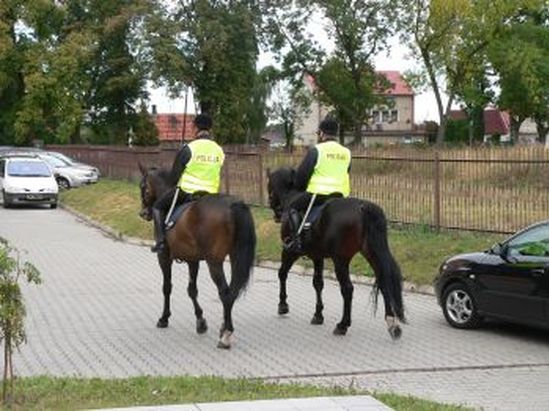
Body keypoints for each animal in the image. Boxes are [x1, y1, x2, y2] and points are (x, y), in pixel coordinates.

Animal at [138, 166, 256, 350]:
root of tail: (233, 205)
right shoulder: (192, 260)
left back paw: (226, 334)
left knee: (225, 293)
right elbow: (192, 290)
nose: (143, 213)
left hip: (214, 262)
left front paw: (164, 318)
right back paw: (224, 328)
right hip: (235, 257)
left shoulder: (163, 257)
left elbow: (167, 287)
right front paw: (201, 322)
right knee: (232, 291)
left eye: (143, 186)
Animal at [268, 167, 404, 342]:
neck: (290, 198)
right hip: (371, 254)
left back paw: (342, 325)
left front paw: (283, 305)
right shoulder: (317, 256)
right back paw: (392, 324)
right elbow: (318, 283)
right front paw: (318, 315)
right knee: (383, 282)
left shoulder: (289, 251)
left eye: (269, 187)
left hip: (341, 260)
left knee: (347, 289)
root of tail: (362, 207)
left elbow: (282, 273)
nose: (276, 213)